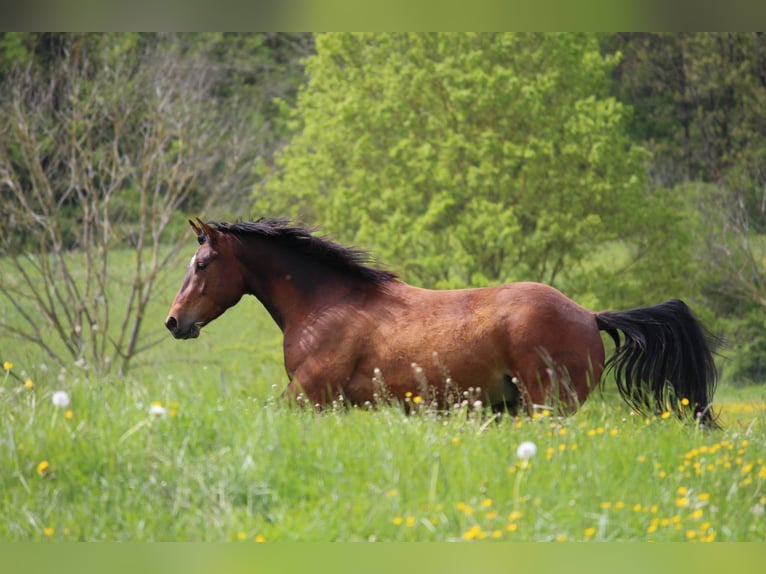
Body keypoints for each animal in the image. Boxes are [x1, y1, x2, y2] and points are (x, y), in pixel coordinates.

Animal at [165, 218, 720, 428]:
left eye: (202, 264)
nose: (174, 322)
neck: (327, 304)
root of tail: (589, 314)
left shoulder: (306, 395)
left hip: (548, 406)